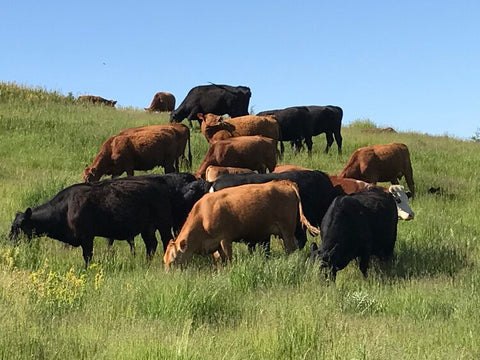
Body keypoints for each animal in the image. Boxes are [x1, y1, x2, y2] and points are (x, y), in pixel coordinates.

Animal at [8, 177, 174, 264]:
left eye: (19, 226)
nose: (9, 239)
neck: (66, 207)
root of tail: (161, 183)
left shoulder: (87, 237)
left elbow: (87, 256)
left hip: (164, 225)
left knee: (166, 241)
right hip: (147, 228)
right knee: (151, 245)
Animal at [163, 180, 320, 268]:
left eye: (173, 262)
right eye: (165, 262)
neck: (203, 215)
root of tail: (283, 183)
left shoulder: (225, 239)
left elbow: (229, 259)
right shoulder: (215, 245)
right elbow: (220, 261)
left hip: (286, 229)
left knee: (291, 249)